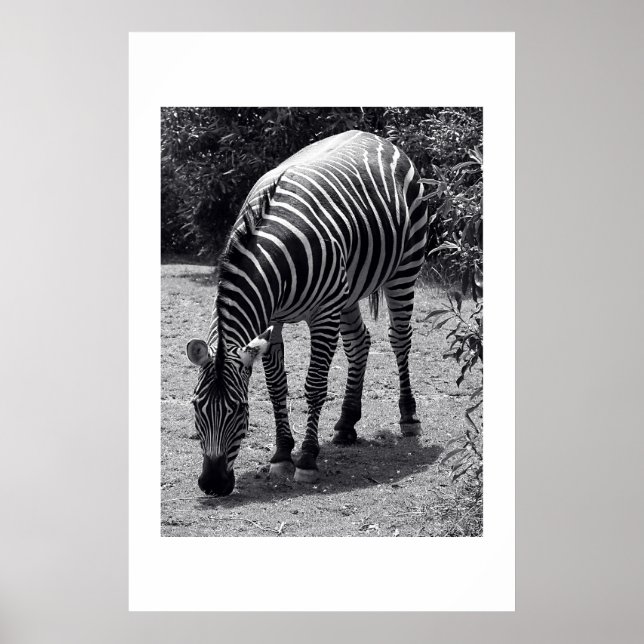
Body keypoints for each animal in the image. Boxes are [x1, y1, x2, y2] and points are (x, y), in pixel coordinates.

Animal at [186, 130, 429, 496]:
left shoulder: (323, 313)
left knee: (400, 338)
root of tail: (379, 138)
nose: (213, 485)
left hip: (405, 266)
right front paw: (282, 454)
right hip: (349, 287)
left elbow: (314, 384)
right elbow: (276, 386)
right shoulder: (272, 319)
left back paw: (409, 418)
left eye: (240, 409)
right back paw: (346, 424)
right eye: (196, 406)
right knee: (359, 342)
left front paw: (308, 459)